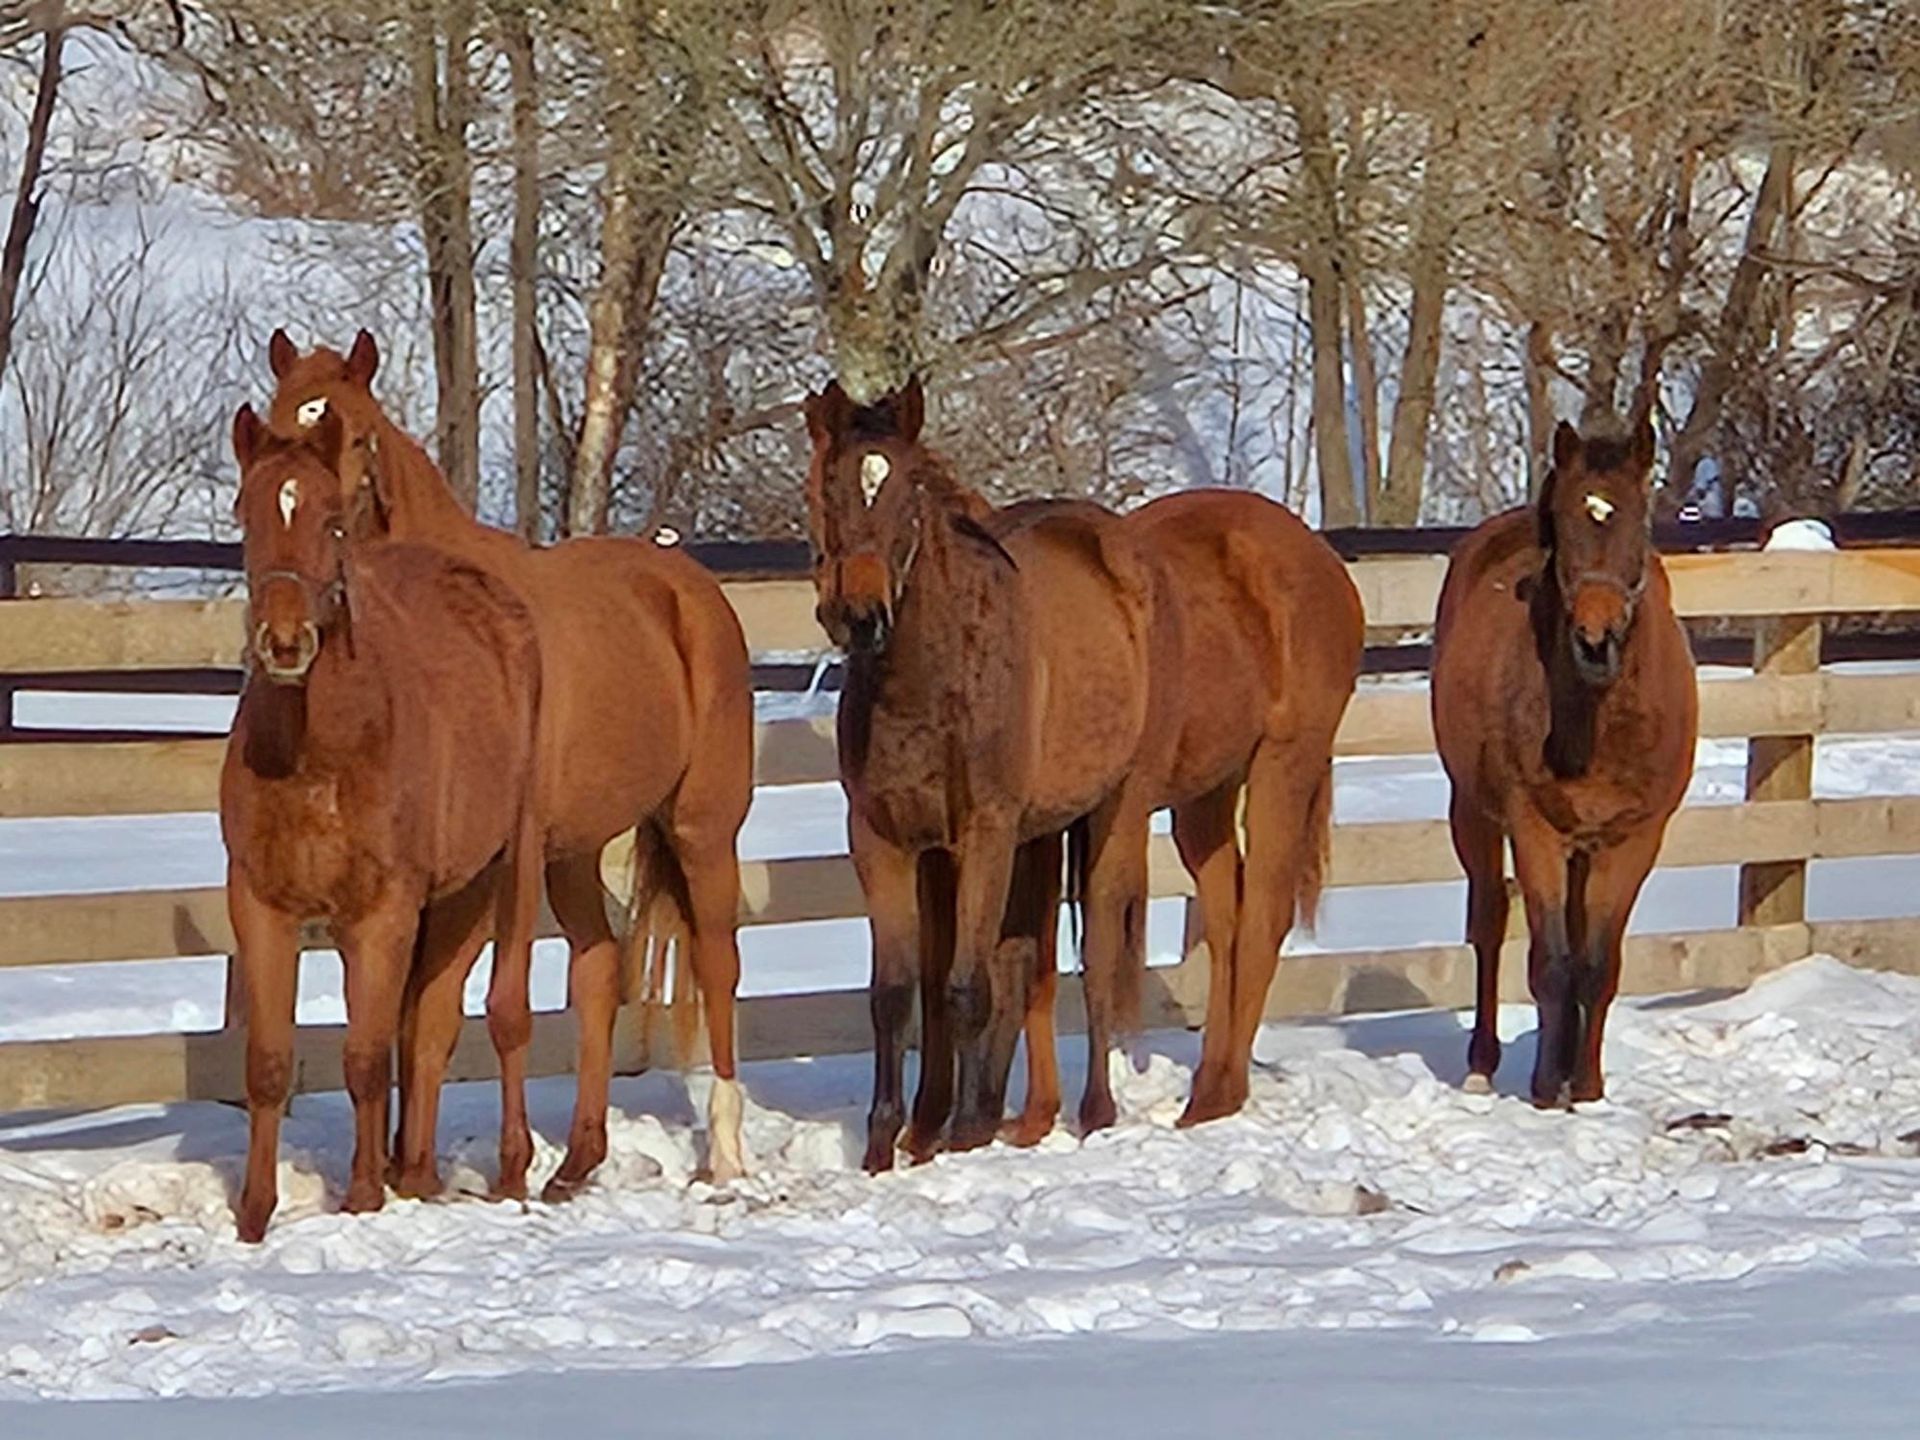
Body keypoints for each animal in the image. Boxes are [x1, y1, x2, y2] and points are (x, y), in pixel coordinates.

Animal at [222, 409, 543, 1241]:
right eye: (246, 515)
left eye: (334, 522)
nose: (285, 641)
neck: (318, 753)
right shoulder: (263, 905)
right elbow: (269, 1062)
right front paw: (254, 1215)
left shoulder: (381, 910)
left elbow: (364, 1057)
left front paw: (363, 1198)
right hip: (455, 897)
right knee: (426, 1026)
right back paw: (417, 1172)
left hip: (513, 864)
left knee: (505, 1015)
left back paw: (512, 1171)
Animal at [263, 330, 754, 1198]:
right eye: (282, 422)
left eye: (356, 436)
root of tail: (688, 587)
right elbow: (409, 1015)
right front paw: (405, 1168)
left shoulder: (496, 862)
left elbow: (481, 1006)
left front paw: (472, 1171)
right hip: (578, 850)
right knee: (598, 972)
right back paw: (579, 1163)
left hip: (700, 830)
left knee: (717, 965)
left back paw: (724, 1153)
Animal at [803, 377, 1182, 1171]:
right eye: (827, 486)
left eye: (909, 491)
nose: (859, 614)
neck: (928, 679)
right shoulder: (885, 841)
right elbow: (895, 992)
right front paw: (887, 1144)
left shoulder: (984, 833)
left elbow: (964, 988)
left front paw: (958, 1139)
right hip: (1031, 837)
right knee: (1021, 960)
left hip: (1114, 811)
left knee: (1095, 953)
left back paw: (1092, 1113)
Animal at [1004, 490, 1363, 1138]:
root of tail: (1318, 555)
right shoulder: (1038, 832)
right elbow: (1034, 954)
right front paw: (1034, 1118)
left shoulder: (1109, 817)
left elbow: (1096, 947)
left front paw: (1093, 1113)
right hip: (1206, 798)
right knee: (1227, 922)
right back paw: (1210, 1089)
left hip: (1283, 765)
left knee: (1264, 915)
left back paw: (1222, 1093)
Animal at [1432, 418, 1698, 1107]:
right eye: (1568, 524)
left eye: (1638, 522)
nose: (1594, 641)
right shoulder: (1535, 831)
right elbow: (1550, 962)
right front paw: (1548, 1087)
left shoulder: (1633, 839)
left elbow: (1597, 963)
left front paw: (1588, 1084)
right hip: (1472, 813)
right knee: (1490, 923)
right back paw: (1483, 1065)